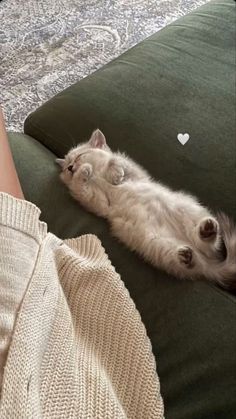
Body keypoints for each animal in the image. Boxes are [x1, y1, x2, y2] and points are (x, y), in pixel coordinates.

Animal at [55, 130, 236, 290]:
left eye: (79, 156)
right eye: (67, 168)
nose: (71, 168)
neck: (98, 176)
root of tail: (209, 264)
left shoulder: (136, 173)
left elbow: (115, 159)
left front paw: (112, 173)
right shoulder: (99, 202)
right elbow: (81, 188)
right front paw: (84, 172)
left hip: (186, 209)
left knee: (210, 244)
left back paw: (207, 230)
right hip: (157, 245)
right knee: (194, 258)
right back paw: (187, 254)